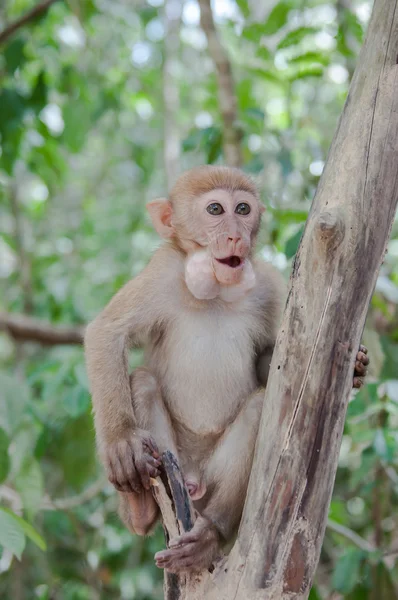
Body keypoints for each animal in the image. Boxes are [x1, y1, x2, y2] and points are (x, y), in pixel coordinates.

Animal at [84, 164, 370, 572]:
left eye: (243, 209)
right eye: (216, 209)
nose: (236, 235)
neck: (216, 293)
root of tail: (193, 482)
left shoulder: (267, 284)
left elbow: (270, 358)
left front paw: (357, 367)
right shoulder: (162, 272)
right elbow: (108, 332)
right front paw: (122, 443)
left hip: (212, 480)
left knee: (257, 409)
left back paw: (210, 534)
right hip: (172, 460)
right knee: (142, 381)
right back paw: (140, 506)